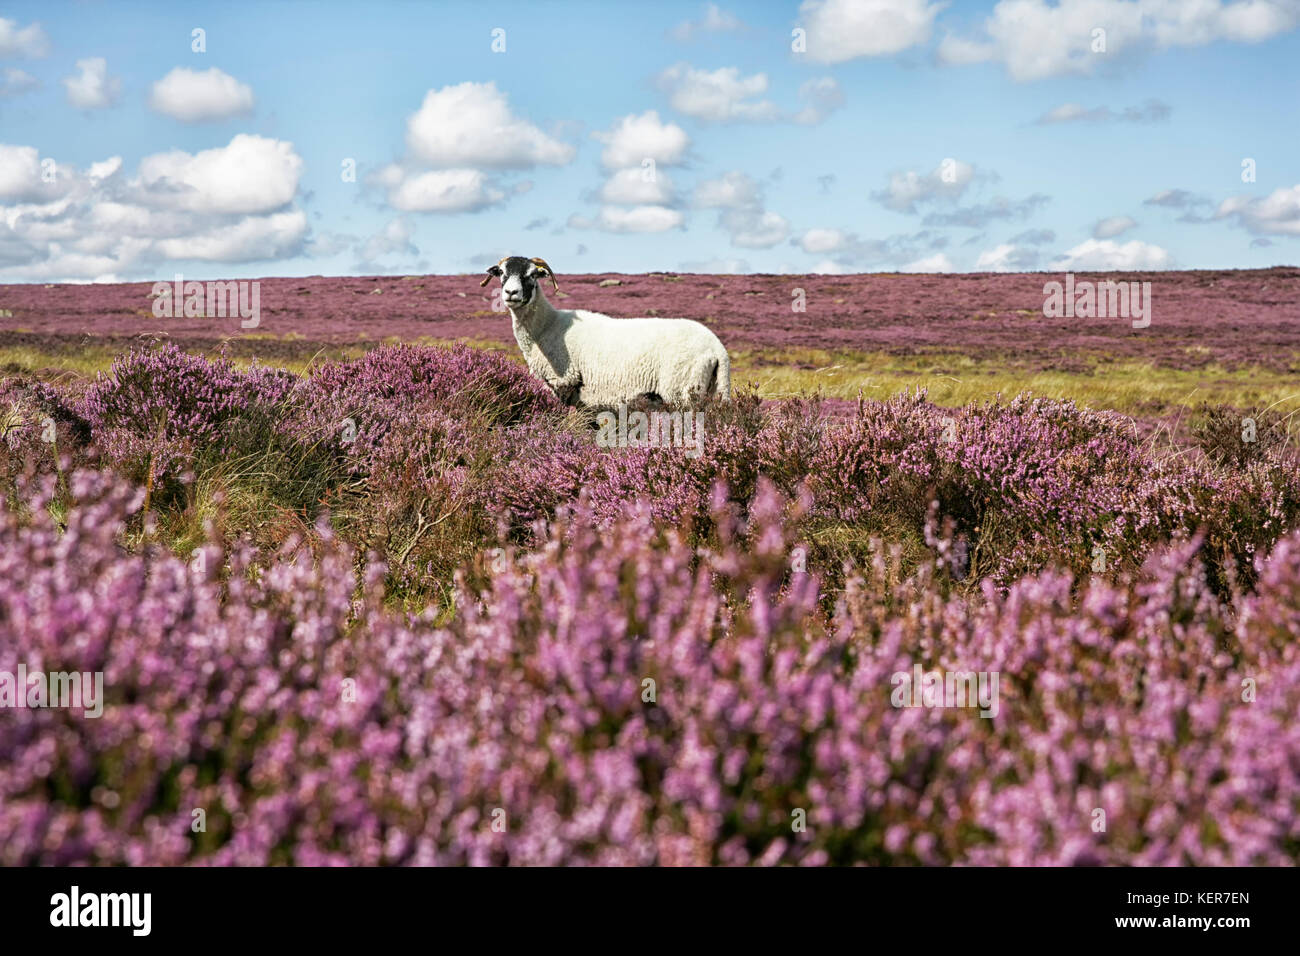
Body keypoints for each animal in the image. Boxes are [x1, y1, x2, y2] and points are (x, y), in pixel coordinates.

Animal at [480, 254, 733, 408]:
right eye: (501, 273)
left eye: (532, 274)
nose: (511, 293)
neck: (546, 328)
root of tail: (718, 349)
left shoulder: (564, 382)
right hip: (711, 388)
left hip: (681, 389)